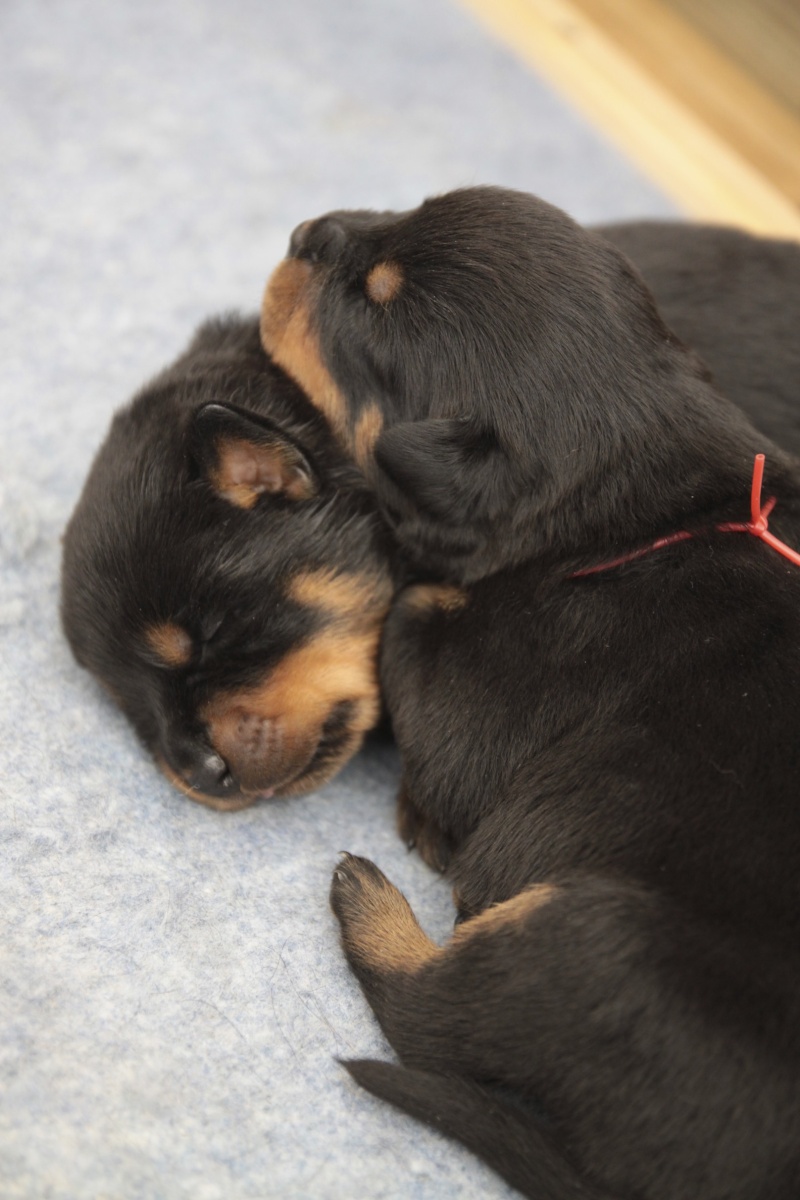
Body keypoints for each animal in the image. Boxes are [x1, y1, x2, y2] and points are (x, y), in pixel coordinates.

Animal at [266, 182, 800, 1195]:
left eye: (374, 311)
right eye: (407, 212)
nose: (306, 230)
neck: (631, 517)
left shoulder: (490, 693)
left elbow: (412, 620)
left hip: (594, 940)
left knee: (433, 1022)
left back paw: (373, 905)